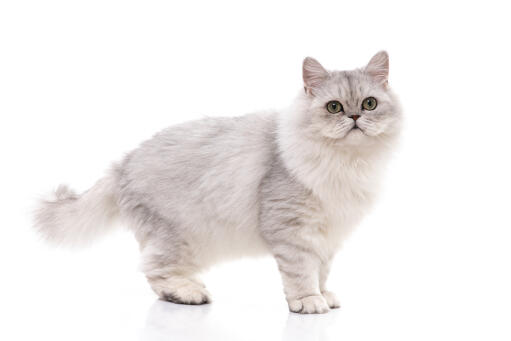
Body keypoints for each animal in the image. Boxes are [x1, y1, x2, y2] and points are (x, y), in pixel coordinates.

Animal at [35, 51, 404, 314]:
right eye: (334, 107)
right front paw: (309, 300)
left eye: (369, 104)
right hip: (178, 238)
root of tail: (123, 164)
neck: (346, 163)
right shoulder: (291, 229)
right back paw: (188, 293)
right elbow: (301, 271)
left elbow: (322, 269)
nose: (354, 117)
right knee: (155, 270)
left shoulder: (327, 234)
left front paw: (324, 294)